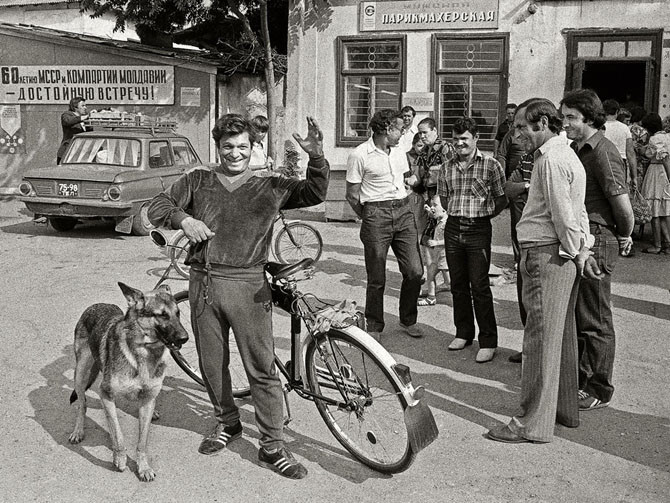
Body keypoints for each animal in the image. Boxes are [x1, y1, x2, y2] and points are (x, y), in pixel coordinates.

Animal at [68, 286, 188, 482]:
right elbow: (118, 434)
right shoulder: (105, 394)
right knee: (82, 404)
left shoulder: (147, 400)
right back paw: (78, 431)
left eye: (177, 313)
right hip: (80, 373)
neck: (144, 351)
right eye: (162, 315)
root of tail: (97, 305)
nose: (185, 338)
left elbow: (142, 442)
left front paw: (143, 467)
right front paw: (120, 458)